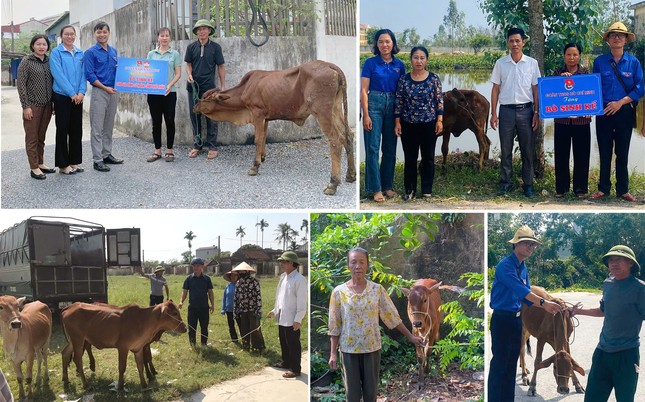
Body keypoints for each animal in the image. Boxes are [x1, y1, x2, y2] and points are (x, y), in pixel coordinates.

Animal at [194, 60, 354, 196]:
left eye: (206, 99)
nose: (195, 106)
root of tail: (329, 65)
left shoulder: (257, 113)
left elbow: (258, 140)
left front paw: (255, 166)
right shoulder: (265, 118)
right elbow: (264, 137)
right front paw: (262, 157)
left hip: (322, 111)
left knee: (336, 140)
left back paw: (333, 184)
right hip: (335, 109)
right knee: (348, 135)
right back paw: (351, 175)